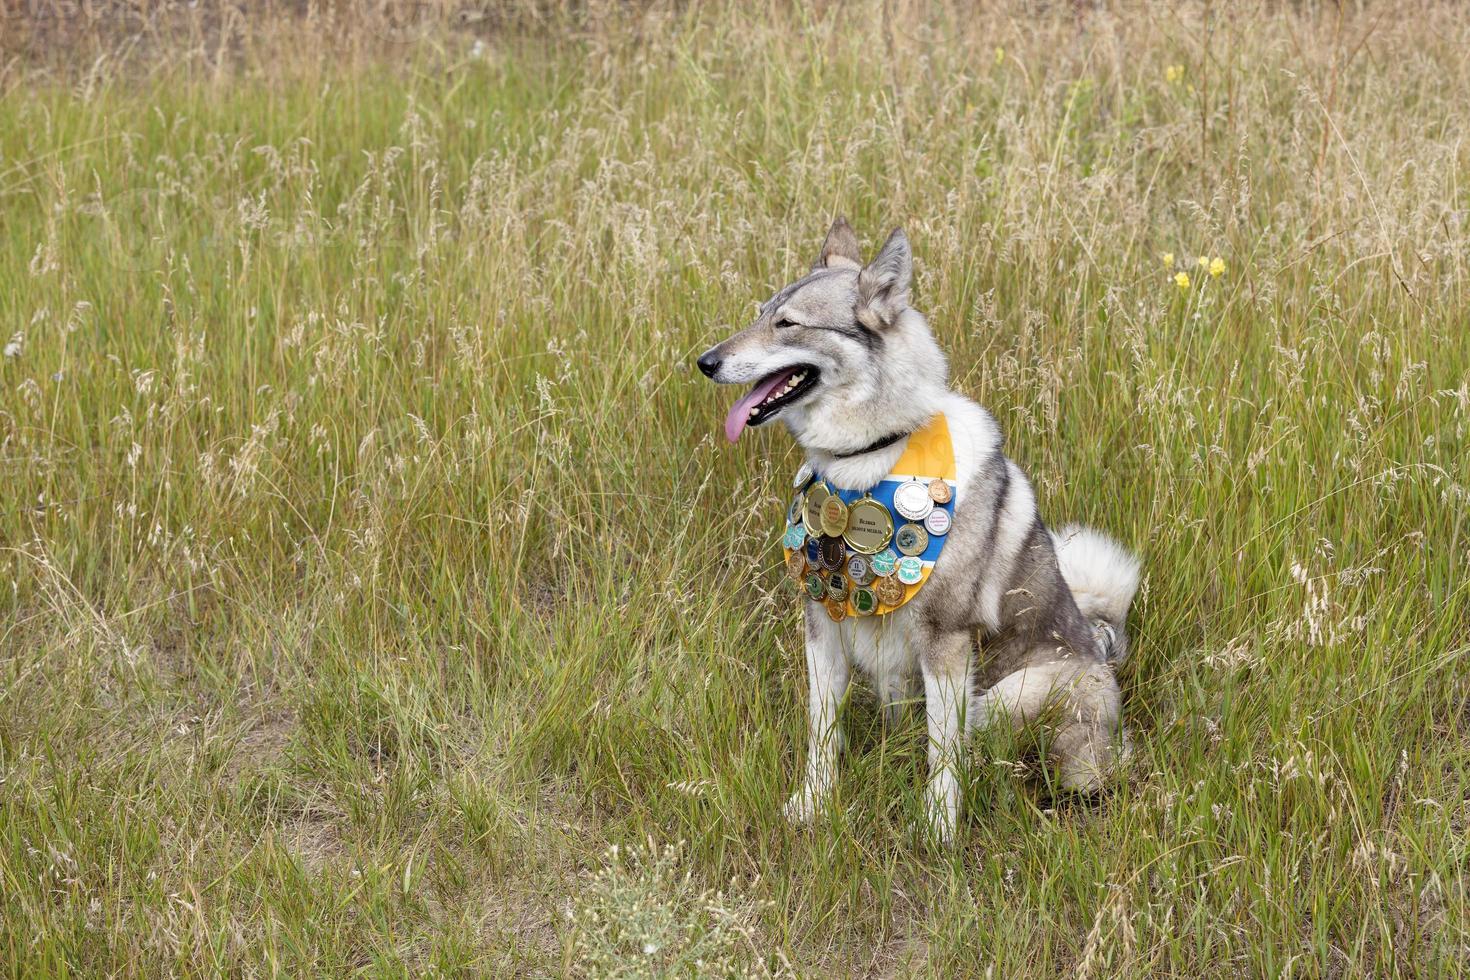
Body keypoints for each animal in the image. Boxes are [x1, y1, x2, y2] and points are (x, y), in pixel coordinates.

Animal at [693, 218, 1140, 840]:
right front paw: (814, 803)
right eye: (760, 314)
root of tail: (1105, 647)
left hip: (1010, 695)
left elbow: (943, 751)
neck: (871, 457)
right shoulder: (821, 626)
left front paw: (939, 827)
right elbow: (821, 732)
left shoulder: (946, 643)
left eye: (788, 324)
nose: (704, 362)